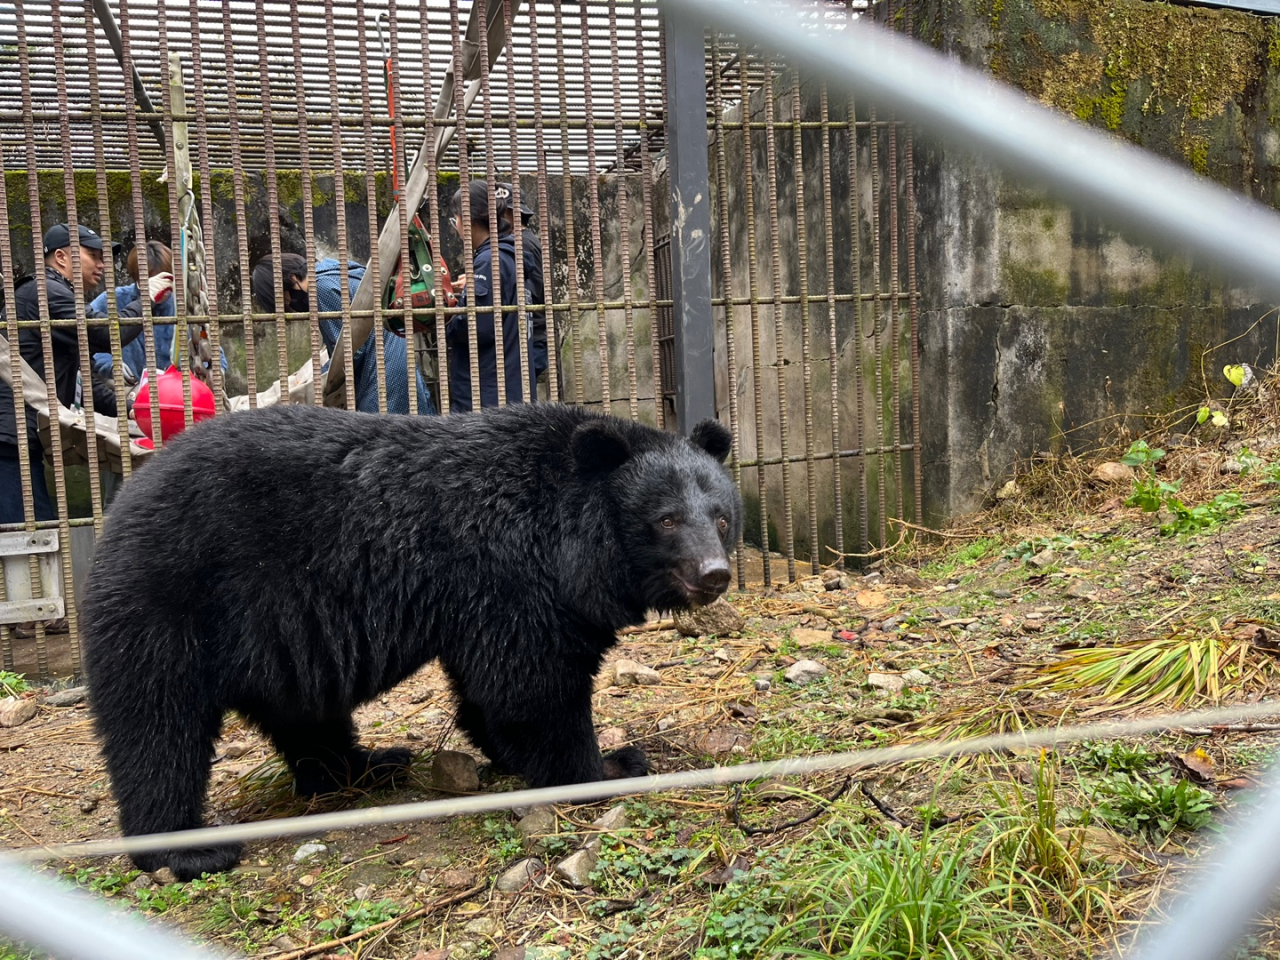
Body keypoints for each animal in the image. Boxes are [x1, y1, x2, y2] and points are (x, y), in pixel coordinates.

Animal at [82, 401, 742, 885]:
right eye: (665, 520)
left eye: (721, 516)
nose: (714, 574)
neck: (570, 538)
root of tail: (118, 507)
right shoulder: (510, 570)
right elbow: (532, 683)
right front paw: (608, 764)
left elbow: (492, 688)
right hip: (172, 603)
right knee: (157, 727)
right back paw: (187, 849)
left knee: (306, 715)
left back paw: (367, 766)